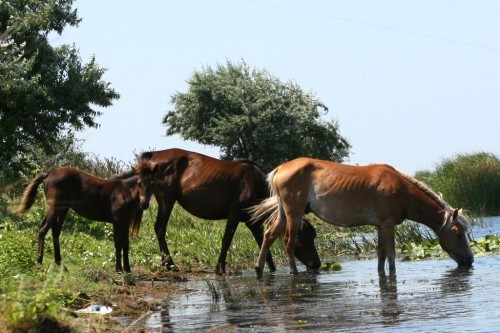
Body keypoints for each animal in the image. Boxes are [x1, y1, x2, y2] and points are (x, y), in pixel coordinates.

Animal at [16, 165, 155, 272]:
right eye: (139, 183)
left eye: (152, 185)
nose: (144, 204)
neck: (124, 192)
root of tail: (50, 173)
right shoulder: (117, 221)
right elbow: (118, 243)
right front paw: (118, 269)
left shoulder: (125, 222)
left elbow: (126, 244)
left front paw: (127, 269)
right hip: (55, 207)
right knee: (43, 228)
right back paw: (39, 262)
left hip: (63, 209)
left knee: (55, 230)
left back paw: (59, 262)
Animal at [127, 149, 318, 274]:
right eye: (305, 237)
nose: (316, 264)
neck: (255, 183)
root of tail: (154, 155)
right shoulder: (234, 216)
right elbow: (227, 240)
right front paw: (220, 267)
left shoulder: (253, 221)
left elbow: (263, 243)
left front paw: (269, 269)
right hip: (167, 201)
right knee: (160, 228)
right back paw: (169, 263)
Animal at [252, 158, 474, 274]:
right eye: (458, 234)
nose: (470, 260)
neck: (402, 190)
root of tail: (280, 168)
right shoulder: (388, 224)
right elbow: (391, 256)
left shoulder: (379, 227)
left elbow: (381, 255)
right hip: (294, 213)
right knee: (288, 242)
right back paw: (293, 272)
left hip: (283, 214)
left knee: (268, 236)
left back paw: (259, 268)